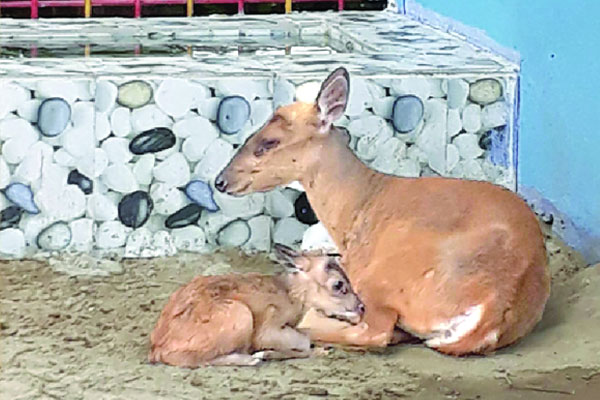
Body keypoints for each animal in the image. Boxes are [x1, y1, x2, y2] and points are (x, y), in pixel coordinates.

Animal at [213, 67, 552, 354]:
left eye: (269, 142)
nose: (220, 180)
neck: (359, 206)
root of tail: (493, 307)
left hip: (386, 278)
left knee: (373, 331)